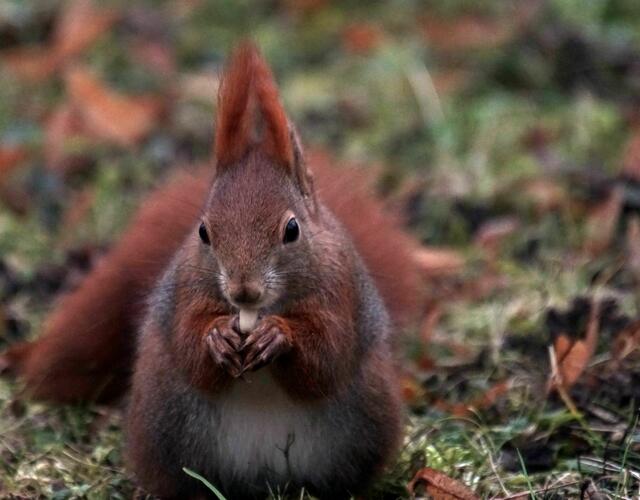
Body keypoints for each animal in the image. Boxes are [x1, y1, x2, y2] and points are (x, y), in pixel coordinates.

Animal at [1, 43, 424, 498]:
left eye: (292, 229)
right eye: (203, 231)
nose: (243, 291)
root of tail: (263, 481)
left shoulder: (341, 291)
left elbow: (328, 355)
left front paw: (279, 335)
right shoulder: (184, 292)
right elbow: (188, 344)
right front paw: (216, 336)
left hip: (364, 424)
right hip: (166, 427)